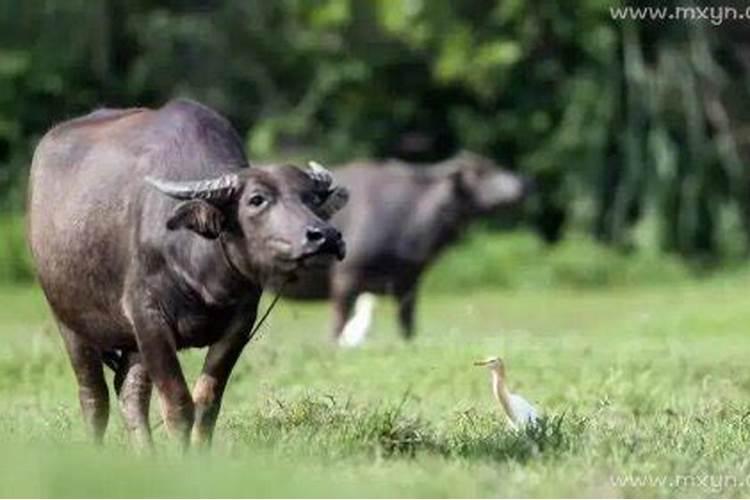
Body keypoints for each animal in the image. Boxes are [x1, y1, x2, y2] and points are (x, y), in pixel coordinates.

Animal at [26, 98, 350, 450]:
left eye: (311, 199)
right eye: (256, 200)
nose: (325, 236)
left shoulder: (239, 323)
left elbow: (207, 401)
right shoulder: (148, 318)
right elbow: (178, 404)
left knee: (130, 393)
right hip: (69, 321)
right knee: (94, 397)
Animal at [282, 151, 528, 340]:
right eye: (481, 172)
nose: (523, 184)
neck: (409, 216)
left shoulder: (409, 283)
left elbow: (408, 327)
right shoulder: (345, 280)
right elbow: (338, 327)